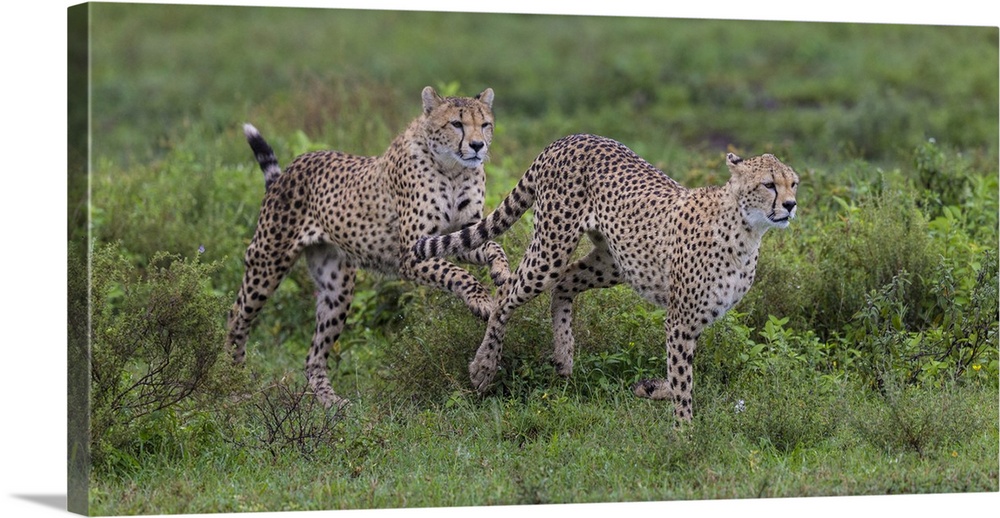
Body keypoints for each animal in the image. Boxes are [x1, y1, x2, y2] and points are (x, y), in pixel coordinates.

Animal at [410, 134, 800, 422]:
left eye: (793, 183)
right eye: (769, 184)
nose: (791, 204)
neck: (747, 230)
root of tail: (571, 137)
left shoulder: (695, 319)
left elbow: (681, 374)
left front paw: (651, 388)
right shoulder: (681, 319)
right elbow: (683, 380)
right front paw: (684, 435)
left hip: (614, 262)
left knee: (563, 284)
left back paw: (564, 355)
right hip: (552, 247)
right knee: (507, 291)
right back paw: (485, 367)